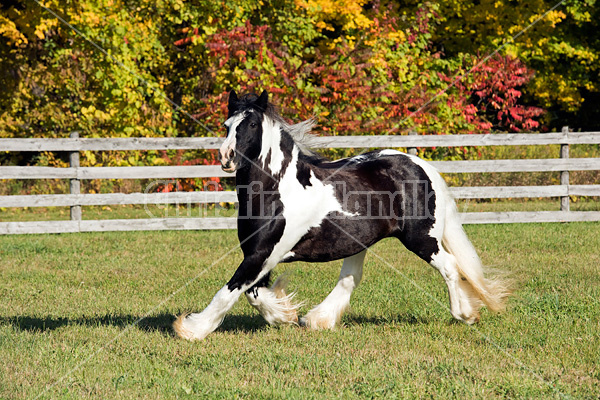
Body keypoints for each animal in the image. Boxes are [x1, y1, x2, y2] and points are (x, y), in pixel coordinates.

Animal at [175, 89, 510, 340]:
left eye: (253, 124)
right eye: (227, 124)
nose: (226, 157)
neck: (276, 190)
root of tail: (419, 165)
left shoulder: (263, 255)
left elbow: (229, 291)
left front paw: (191, 329)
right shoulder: (258, 255)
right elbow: (253, 294)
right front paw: (284, 315)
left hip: (421, 239)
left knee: (451, 267)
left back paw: (465, 314)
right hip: (360, 241)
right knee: (351, 278)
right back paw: (319, 319)